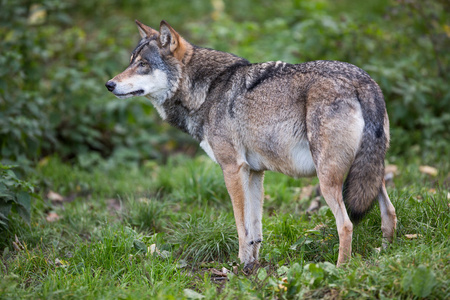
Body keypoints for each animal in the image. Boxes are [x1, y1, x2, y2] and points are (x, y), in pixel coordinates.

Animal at [105, 20, 398, 270]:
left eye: (143, 65)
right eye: (131, 62)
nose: (109, 84)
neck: (208, 91)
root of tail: (363, 81)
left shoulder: (232, 169)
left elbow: (240, 225)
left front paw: (239, 264)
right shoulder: (256, 172)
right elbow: (255, 226)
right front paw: (252, 264)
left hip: (327, 179)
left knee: (346, 225)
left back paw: (339, 270)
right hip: (370, 174)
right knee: (390, 211)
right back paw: (385, 255)